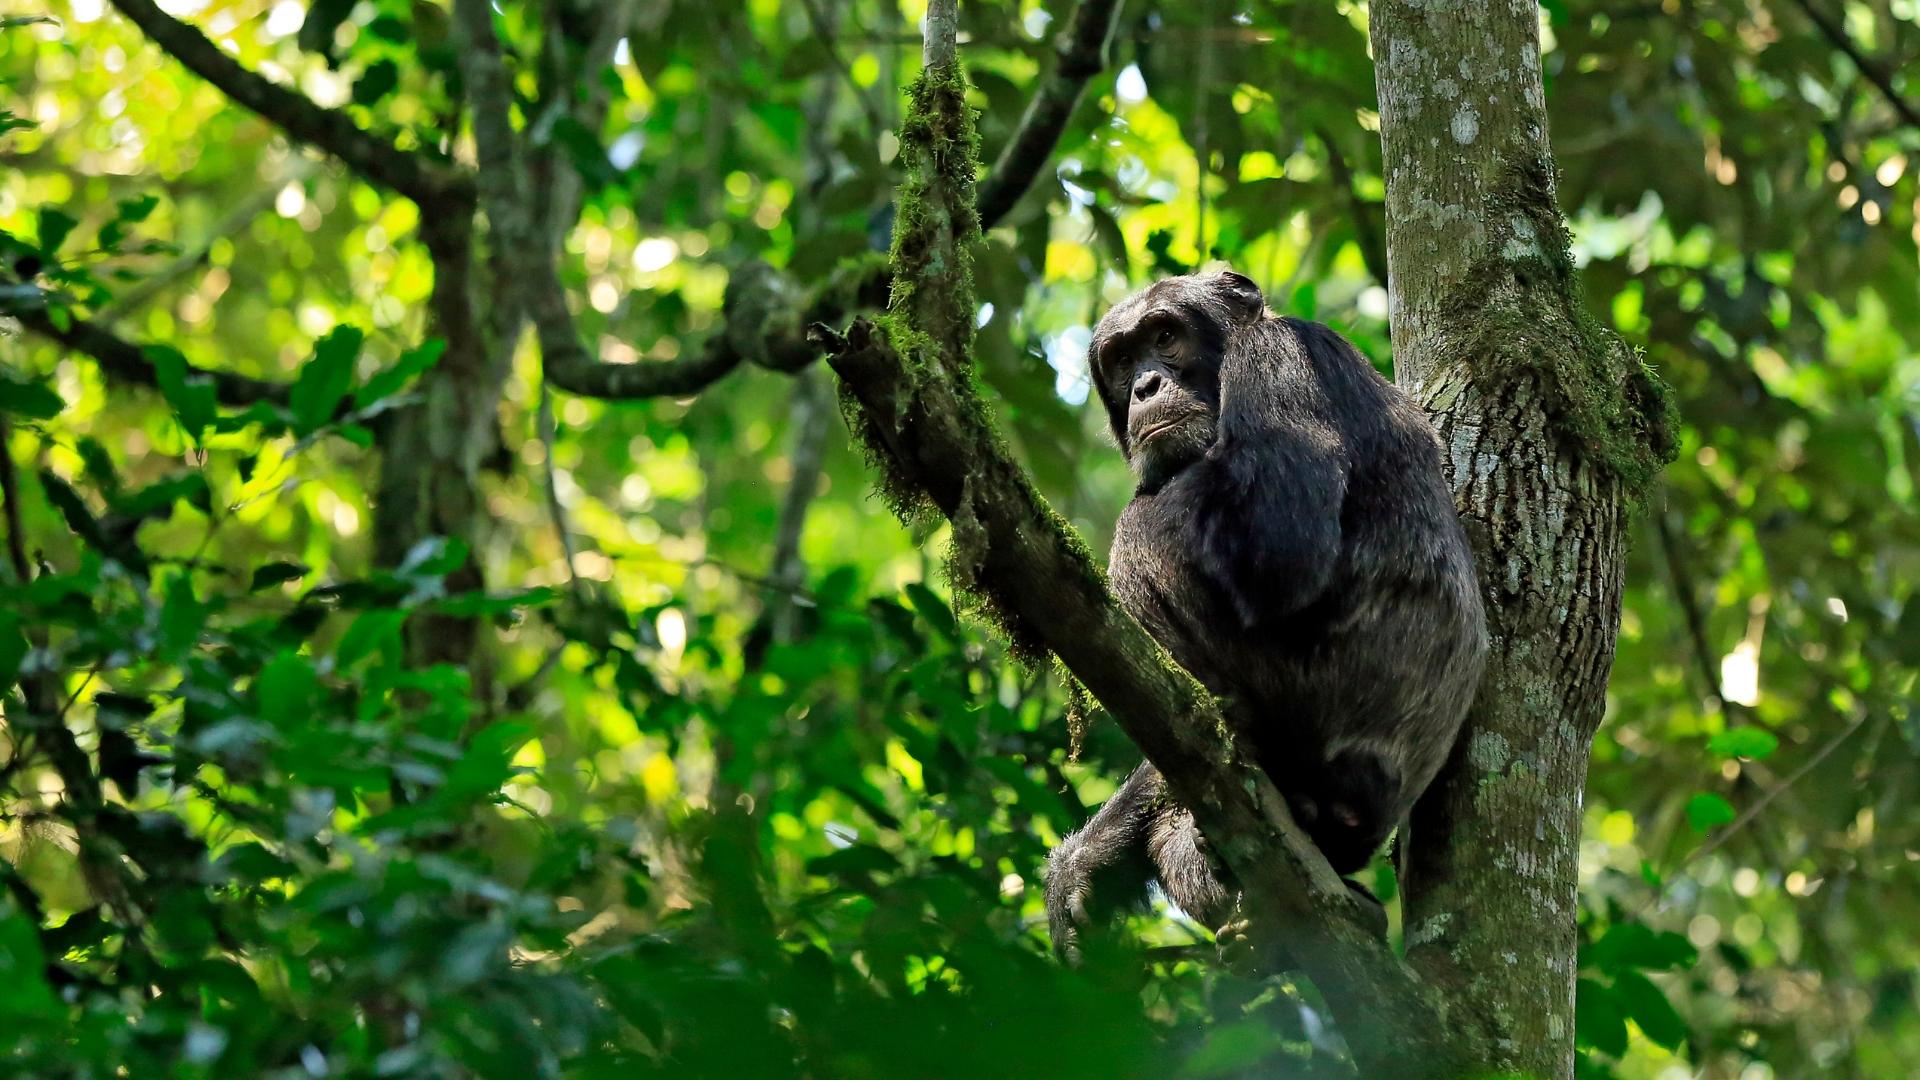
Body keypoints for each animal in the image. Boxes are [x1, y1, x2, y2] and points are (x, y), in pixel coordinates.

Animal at [1045, 271, 1486, 959]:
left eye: (1164, 336)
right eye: (1120, 359)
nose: (1145, 385)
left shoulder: (1275, 357)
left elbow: (1278, 551)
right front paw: (1085, 863)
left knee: (1140, 525)